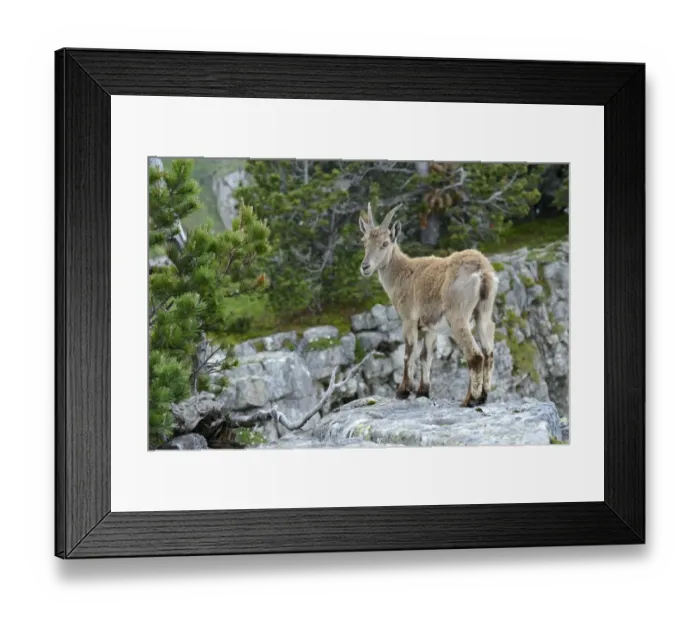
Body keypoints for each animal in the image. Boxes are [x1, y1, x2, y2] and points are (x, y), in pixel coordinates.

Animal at [359, 204, 498, 407]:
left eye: (384, 243)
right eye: (364, 242)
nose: (365, 267)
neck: (401, 273)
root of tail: (481, 271)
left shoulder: (409, 319)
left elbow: (409, 353)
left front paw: (403, 391)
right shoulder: (430, 327)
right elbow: (426, 356)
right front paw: (423, 391)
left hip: (458, 316)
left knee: (475, 355)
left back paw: (469, 399)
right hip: (483, 313)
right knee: (488, 353)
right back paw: (482, 396)